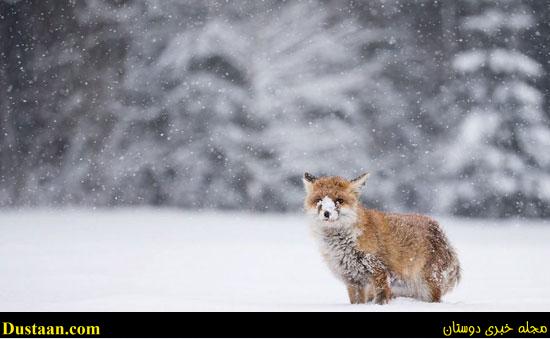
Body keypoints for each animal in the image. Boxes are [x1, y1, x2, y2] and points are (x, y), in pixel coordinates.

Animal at [304, 173, 464, 306]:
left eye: (339, 200)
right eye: (319, 200)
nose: (326, 213)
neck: (343, 244)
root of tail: (439, 230)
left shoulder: (379, 271)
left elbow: (381, 298)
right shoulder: (353, 279)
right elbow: (357, 302)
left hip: (427, 286)